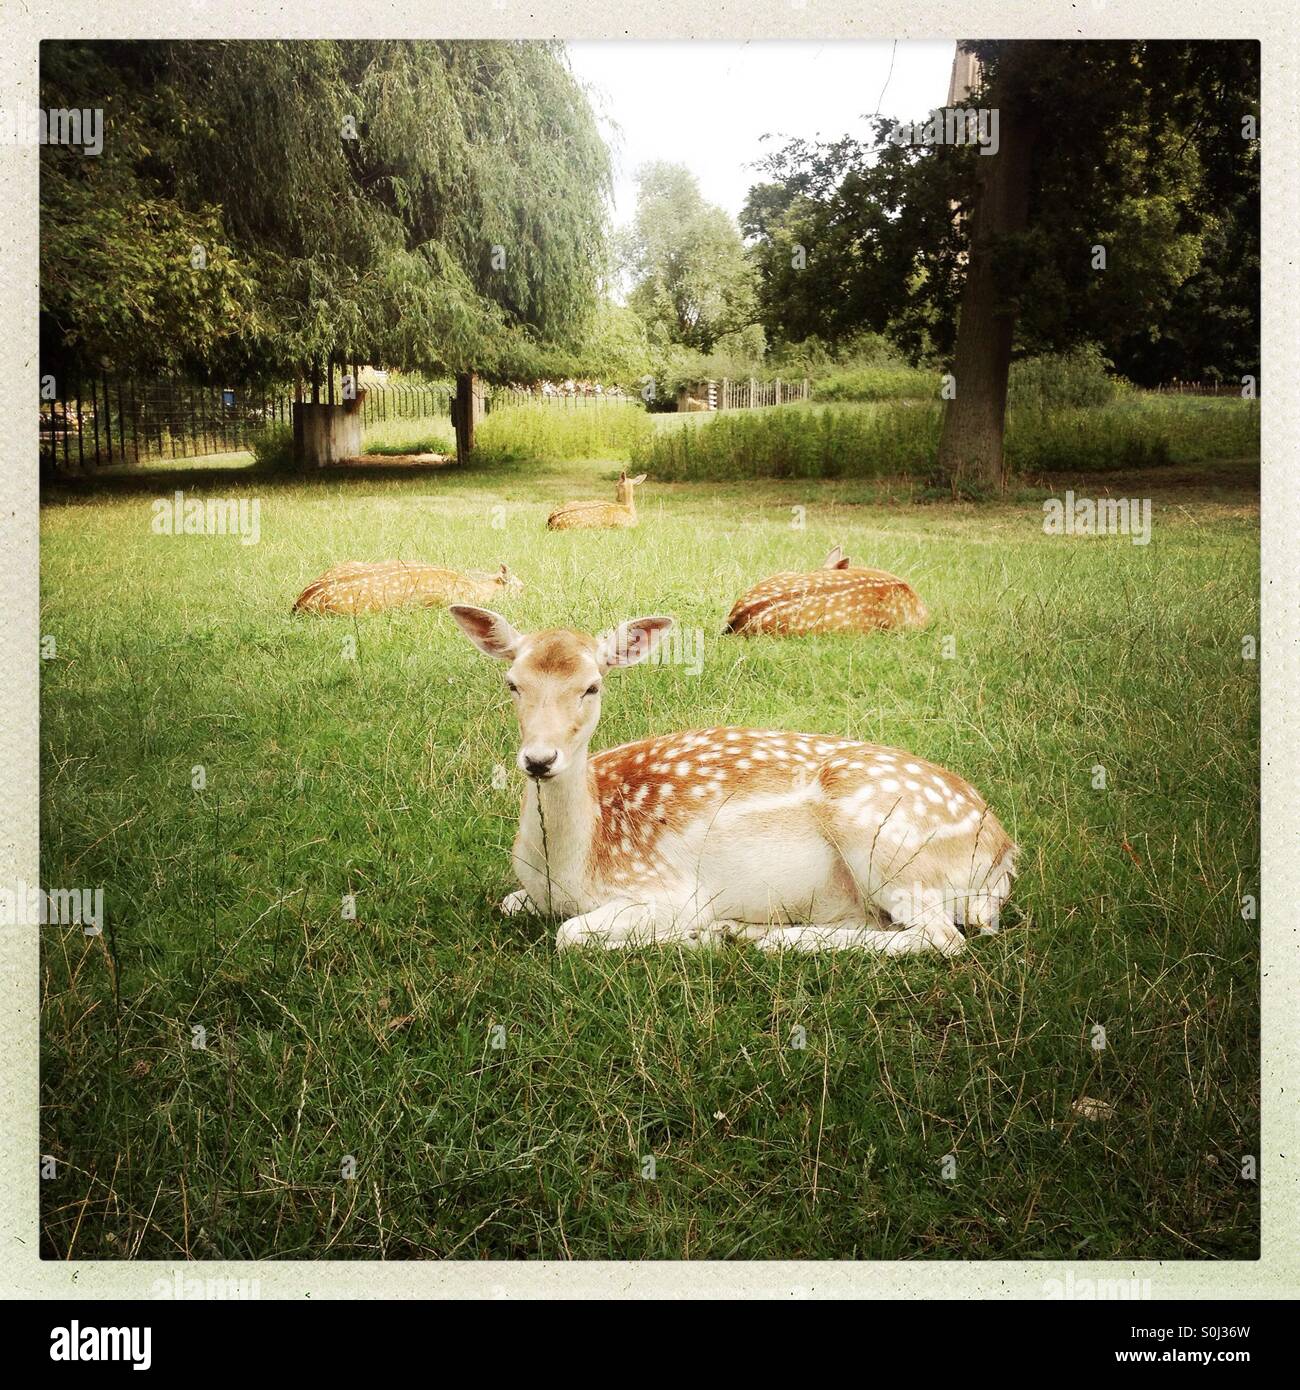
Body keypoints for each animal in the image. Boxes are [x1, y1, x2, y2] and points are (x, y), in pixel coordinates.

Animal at [449, 606, 1017, 955]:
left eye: (591, 686)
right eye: (512, 683)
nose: (540, 759)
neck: (571, 866)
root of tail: (1004, 855)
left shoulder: (666, 890)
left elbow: (569, 934)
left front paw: (692, 935)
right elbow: (509, 902)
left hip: (888, 842)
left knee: (941, 937)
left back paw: (762, 938)